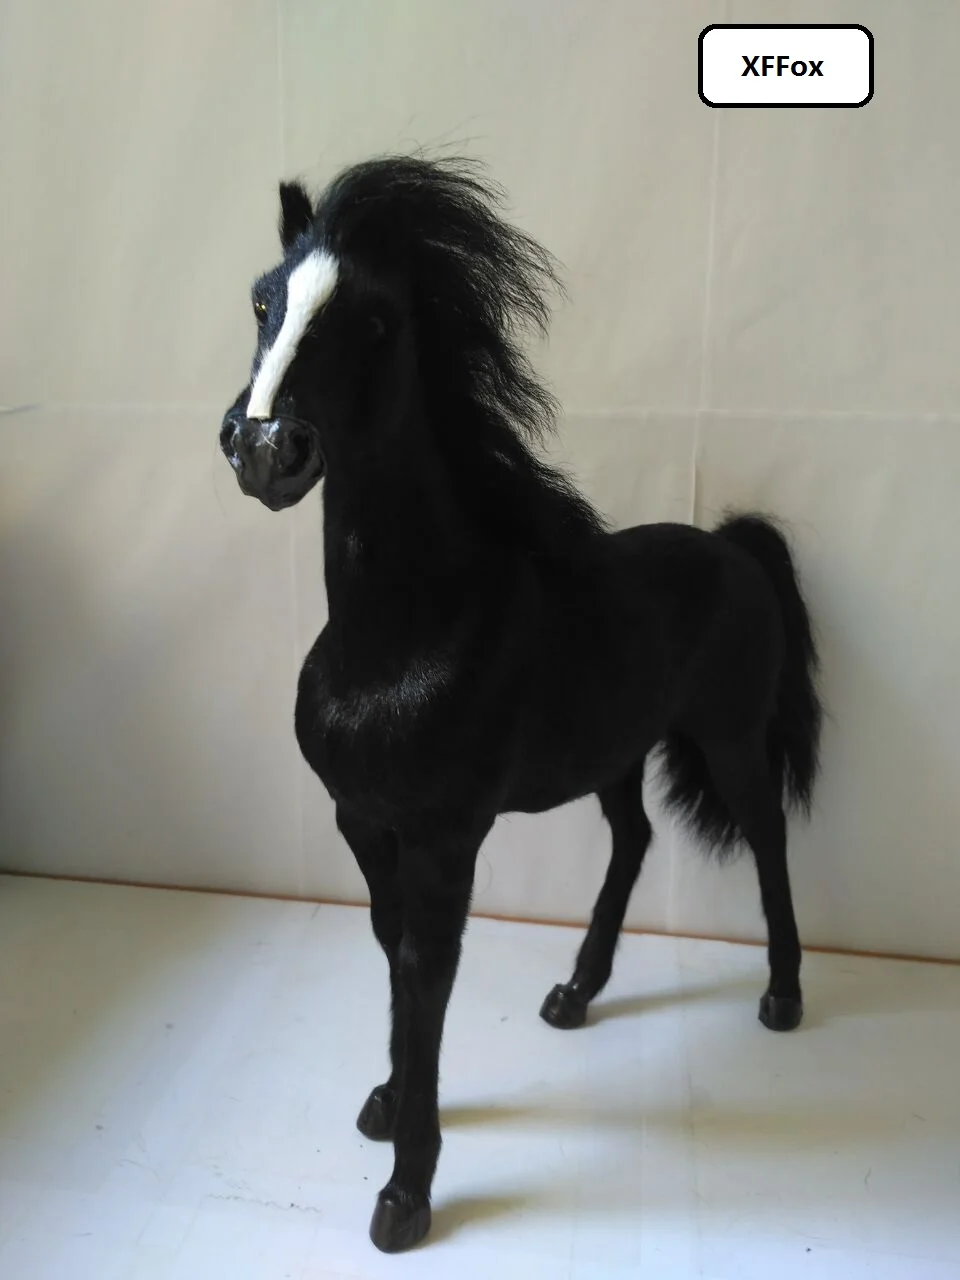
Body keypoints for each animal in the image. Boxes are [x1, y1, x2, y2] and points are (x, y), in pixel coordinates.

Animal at [219, 155, 823, 1253]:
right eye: (263, 302)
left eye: (376, 320)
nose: (264, 447)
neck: (401, 635)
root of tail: (735, 546)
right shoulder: (363, 822)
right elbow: (392, 952)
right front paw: (388, 1100)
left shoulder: (447, 837)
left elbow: (429, 970)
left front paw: (407, 1193)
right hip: (620, 750)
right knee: (634, 837)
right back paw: (576, 994)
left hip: (729, 738)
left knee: (766, 834)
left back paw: (781, 995)